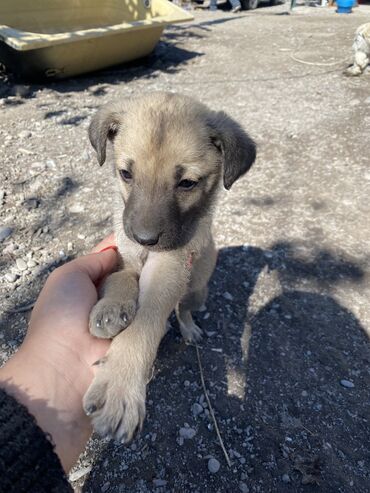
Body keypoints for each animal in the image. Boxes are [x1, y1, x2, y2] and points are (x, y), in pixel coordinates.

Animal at [83, 92, 256, 442]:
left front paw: (119, 384)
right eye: (126, 174)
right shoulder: (123, 256)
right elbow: (119, 278)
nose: (144, 238)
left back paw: (188, 328)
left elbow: (146, 323)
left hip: (198, 290)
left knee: (183, 308)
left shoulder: (171, 268)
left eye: (187, 183)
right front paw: (110, 310)